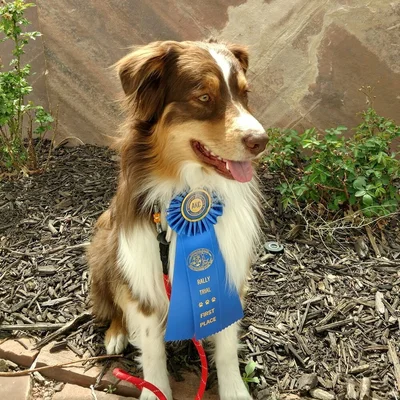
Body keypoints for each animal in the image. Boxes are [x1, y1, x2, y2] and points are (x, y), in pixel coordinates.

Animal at [87, 39, 267, 400]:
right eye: (204, 97)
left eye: (244, 93)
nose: (261, 141)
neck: (190, 190)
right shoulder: (143, 272)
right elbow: (152, 350)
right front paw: (155, 390)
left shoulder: (228, 273)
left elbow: (226, 345)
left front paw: (234, 389)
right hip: (106, 250)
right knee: (113, 302)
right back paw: (116, 333)